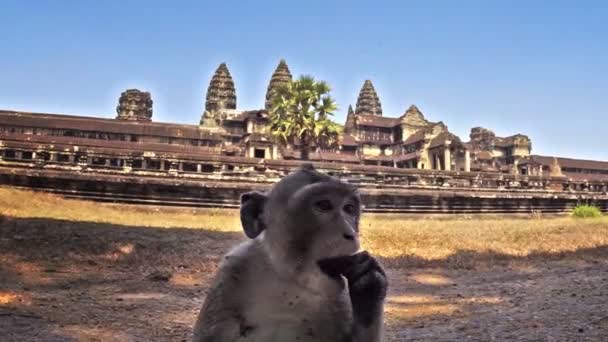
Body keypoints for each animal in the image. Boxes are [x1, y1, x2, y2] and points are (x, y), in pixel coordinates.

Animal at [192, 164, 388, 340]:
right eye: (324, 205)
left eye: (348, 208)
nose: (350, 233)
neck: (290, 278)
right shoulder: (233, 272)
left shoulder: (338, 296)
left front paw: (369, 286)